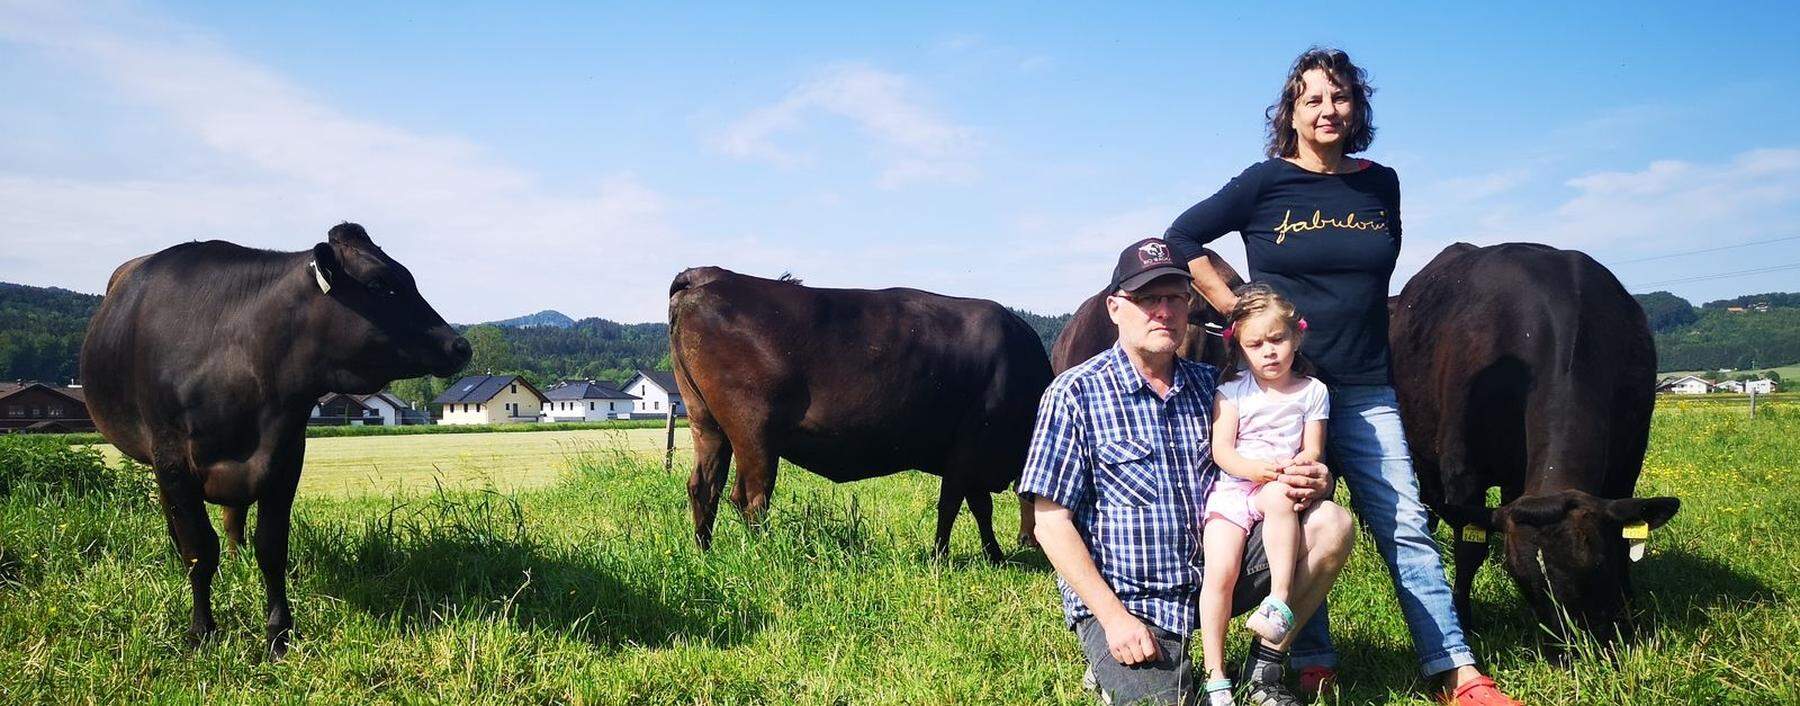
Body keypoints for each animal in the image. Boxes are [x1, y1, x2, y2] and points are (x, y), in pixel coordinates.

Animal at [81, 225, 468, 655]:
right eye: (379, 284)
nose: (460, 345)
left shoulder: (285, 456)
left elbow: (271, 549)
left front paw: (278, 634)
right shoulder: (173, 459)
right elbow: (199, 550)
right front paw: (202, 631)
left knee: (233, 520)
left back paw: (237, 562)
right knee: (178, 519)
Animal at [669, 266, 1051, 561]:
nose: (1031, 543)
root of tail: (709, 274)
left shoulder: (970, 458)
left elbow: (976, 506)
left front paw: (992, 554)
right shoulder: (969, 448)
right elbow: (957, 505)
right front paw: (943, 556)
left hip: (707, 422)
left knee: (704, 487)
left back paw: (705, 552)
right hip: (753, 431)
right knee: (750, 497)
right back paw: (763, 553)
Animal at [1382, 243, 1677, 641]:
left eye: (1596, 566)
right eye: (1520, 578)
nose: (1570, 646)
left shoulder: (1628, 458)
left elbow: (1623, 536)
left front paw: (1629, 612)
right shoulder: (1462, 466)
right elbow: (1469, 548)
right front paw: (1462, 618)